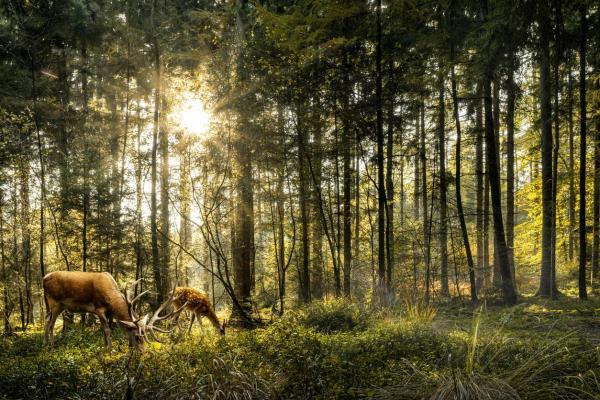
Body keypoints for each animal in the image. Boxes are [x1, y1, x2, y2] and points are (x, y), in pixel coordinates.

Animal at [43, 270, 182, 352]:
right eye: (137, 336)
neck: (111, 299)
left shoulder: (109, 313)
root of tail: (44, 278)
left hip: (56, 306)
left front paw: (105, 347)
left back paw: (45, 344)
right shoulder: (98, 308)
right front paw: (110, 351)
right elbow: (107, 330)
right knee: (50, 324)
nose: (143, 352)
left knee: (46, 320)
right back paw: (51, 347)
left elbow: (105, 330)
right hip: (54, 303)